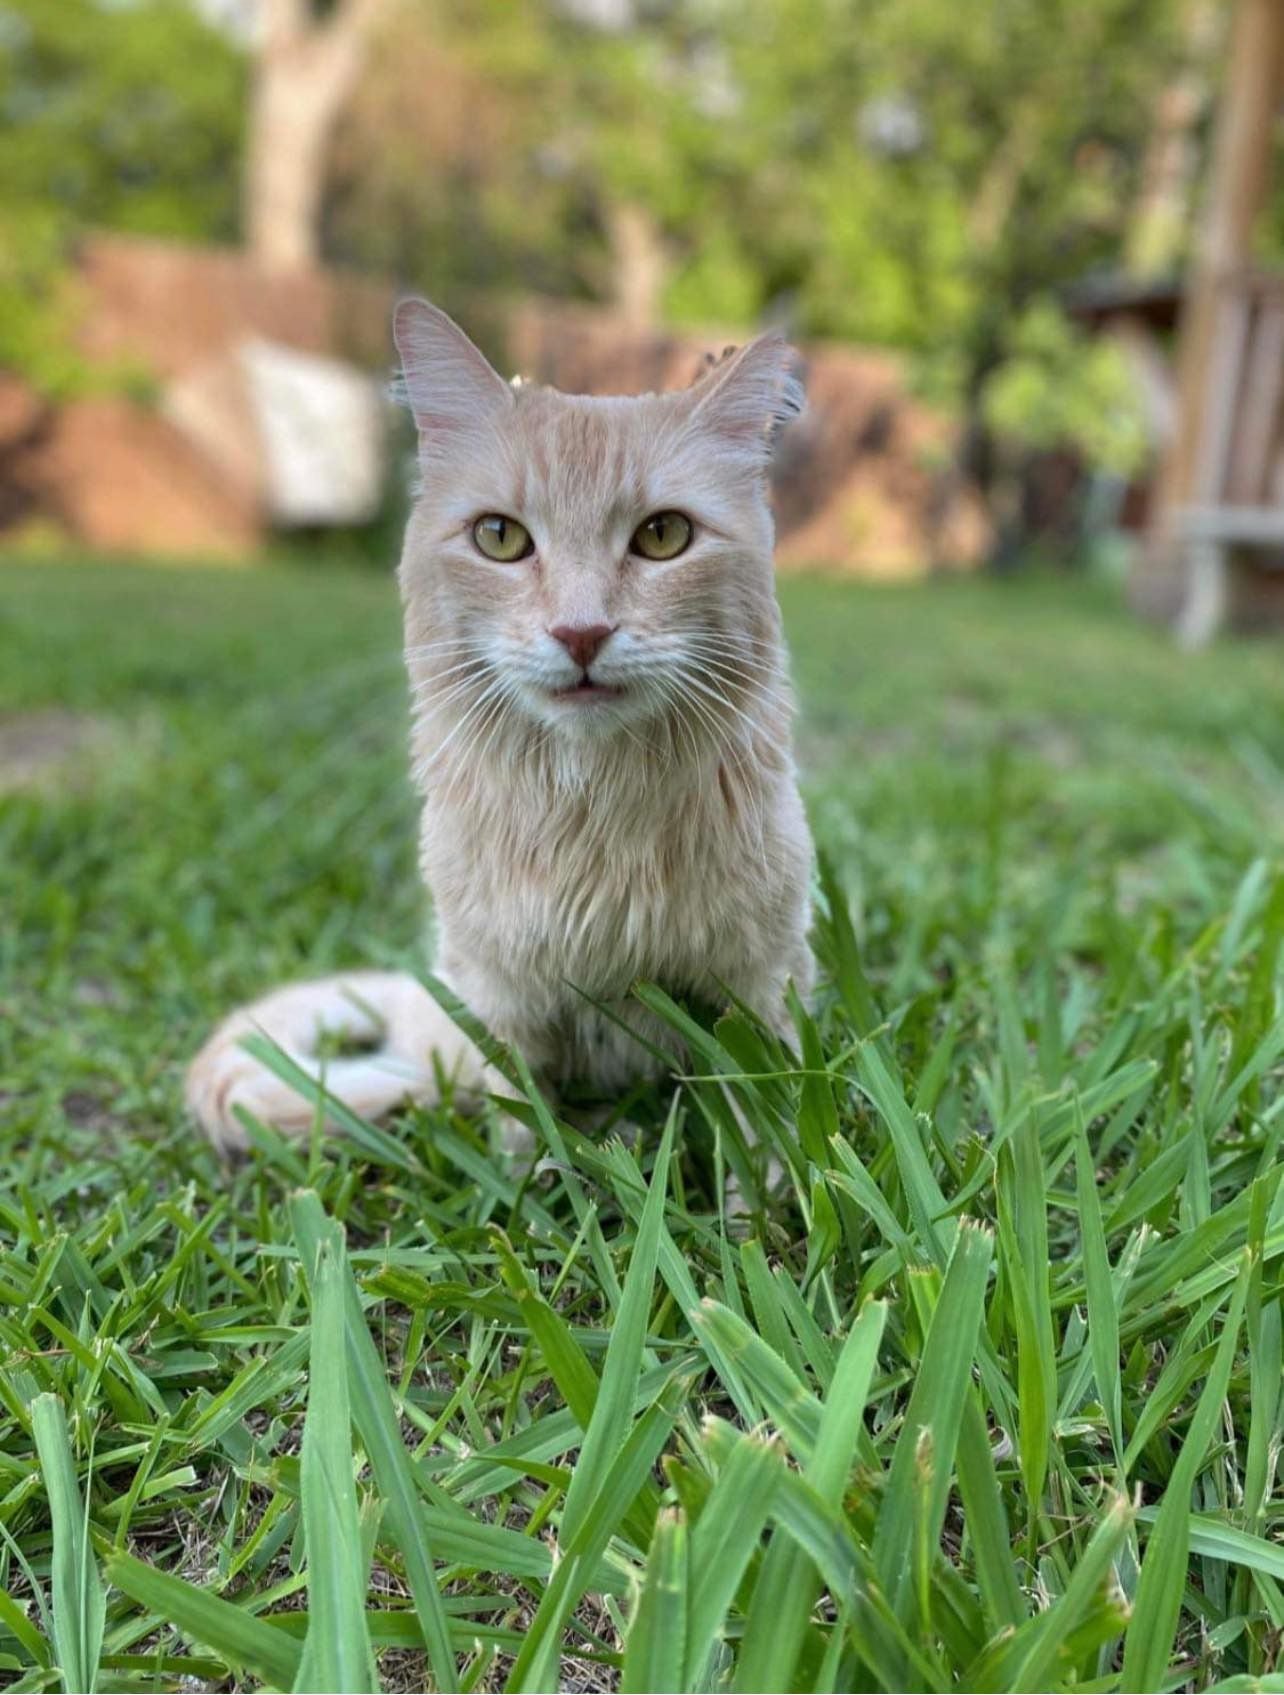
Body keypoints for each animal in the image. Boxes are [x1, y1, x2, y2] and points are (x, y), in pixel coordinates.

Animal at [183, 301, 813, 1152]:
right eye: (501, 537)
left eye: (663, 536)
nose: (581, 633)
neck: (592, 805)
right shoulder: (502, 999)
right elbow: (523, 1127)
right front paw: (545, 1179)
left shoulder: (761, 980)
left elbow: (765, 1128)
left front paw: (772, 1187)